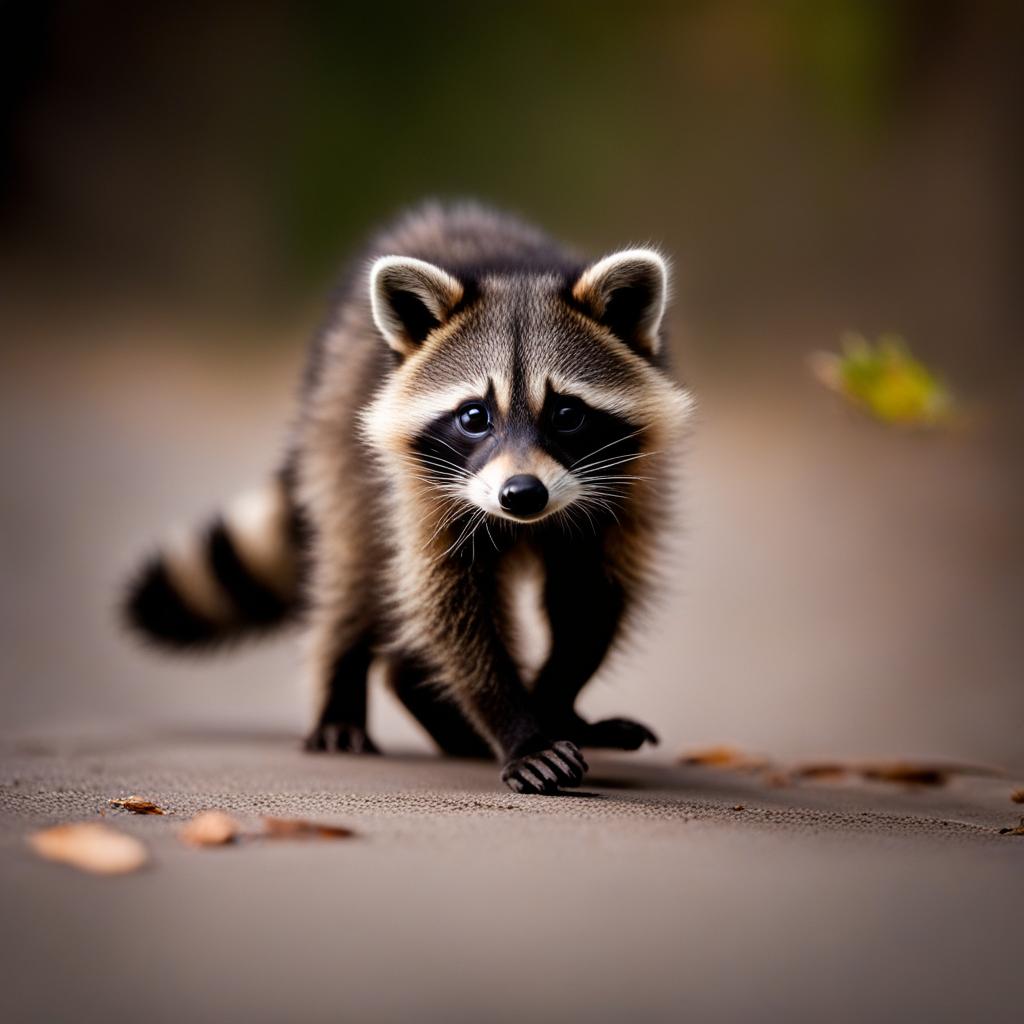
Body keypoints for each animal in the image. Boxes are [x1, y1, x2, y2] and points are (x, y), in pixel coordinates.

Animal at [123, 199, 692, 790]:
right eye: (474, 417)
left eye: (567, 415)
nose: (521, 495)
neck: (515, 274)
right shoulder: (422, 490)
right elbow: (450, 609)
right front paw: (520, 727)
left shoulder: (630, 486)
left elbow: (590, 599)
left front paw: (555, 702)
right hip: (340, 447)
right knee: (353, 570)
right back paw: (344, 693)